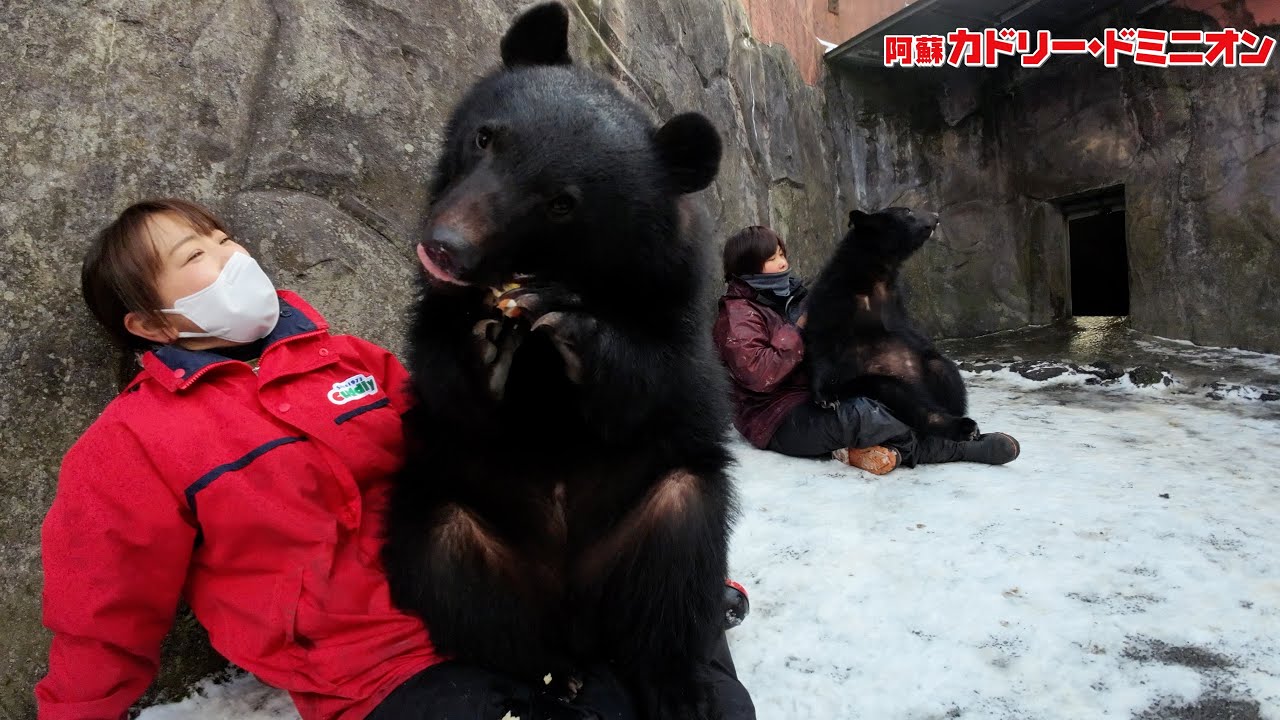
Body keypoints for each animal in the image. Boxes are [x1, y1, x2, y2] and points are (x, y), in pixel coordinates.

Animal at [380, 4, 737, 718]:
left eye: (561, 203)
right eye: (485, 139)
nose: (446, 247)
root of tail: (573, 614)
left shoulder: (674, 294)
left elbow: (654, 378)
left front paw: (568, 323)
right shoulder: (436, 310)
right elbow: (443, 378)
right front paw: (487, 343)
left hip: (660, 520)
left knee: (678, 563)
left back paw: (677, 689)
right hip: (452, 518)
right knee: (463, 582)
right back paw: (547, 678)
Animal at [801, 206, 979, 442]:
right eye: (908, 212)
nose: (936, 215)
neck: (874, 275)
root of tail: (916, 383)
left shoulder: (896, 305)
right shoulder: (833, 296)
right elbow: (821, 339)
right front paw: (826, 398)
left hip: (931, 369)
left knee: (945, 373)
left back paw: (963, 424)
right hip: (880, 381)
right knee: (910, 401)